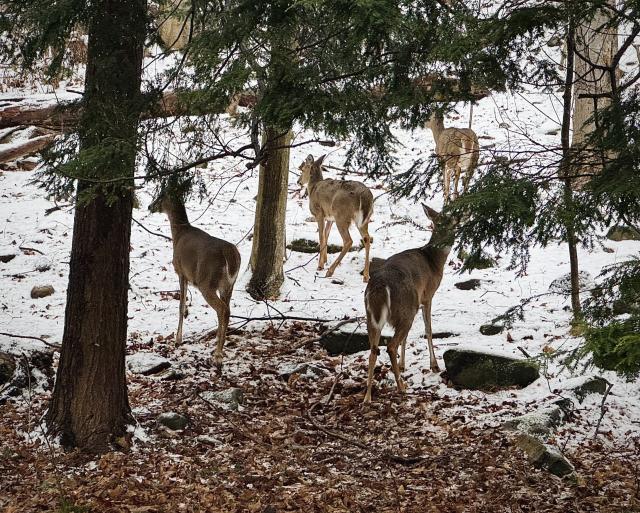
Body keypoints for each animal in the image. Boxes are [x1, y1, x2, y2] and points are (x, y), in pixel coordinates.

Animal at [149, 186, 241, 370]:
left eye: (160, 195)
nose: (149, 206)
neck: (178, 233)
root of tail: (230, 256)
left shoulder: (181, 271)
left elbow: (180, 305)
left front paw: (178, 339)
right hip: (228, 285)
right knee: (227, 310)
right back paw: (219, 348)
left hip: (207, 282)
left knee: (222, 309)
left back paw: (218, 357)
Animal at [296, 154, 376, 282]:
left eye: (303, 169)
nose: (298, 182)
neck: (313, 188)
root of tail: (365, 195)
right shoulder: (330, 218)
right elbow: (326, 235)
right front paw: (325, 260)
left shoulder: (319, 213)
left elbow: (321, 236)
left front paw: (320, 265)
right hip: (364, 219)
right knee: (367, 238)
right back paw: (366, 276)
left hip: (341, 215)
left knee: (348, 240)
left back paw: (330, 271)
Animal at [362, 202, 458, 402]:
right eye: (446, 222)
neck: (434, 261)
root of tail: (381, 286)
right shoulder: (427, 295)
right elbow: (429, 330)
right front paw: (434, 365)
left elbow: (406, 338)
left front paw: (403, 364)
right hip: (407, 307)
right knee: (390, 346)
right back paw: (401, 387)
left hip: (372, 315)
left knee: (374, 349)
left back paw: (367, 396)